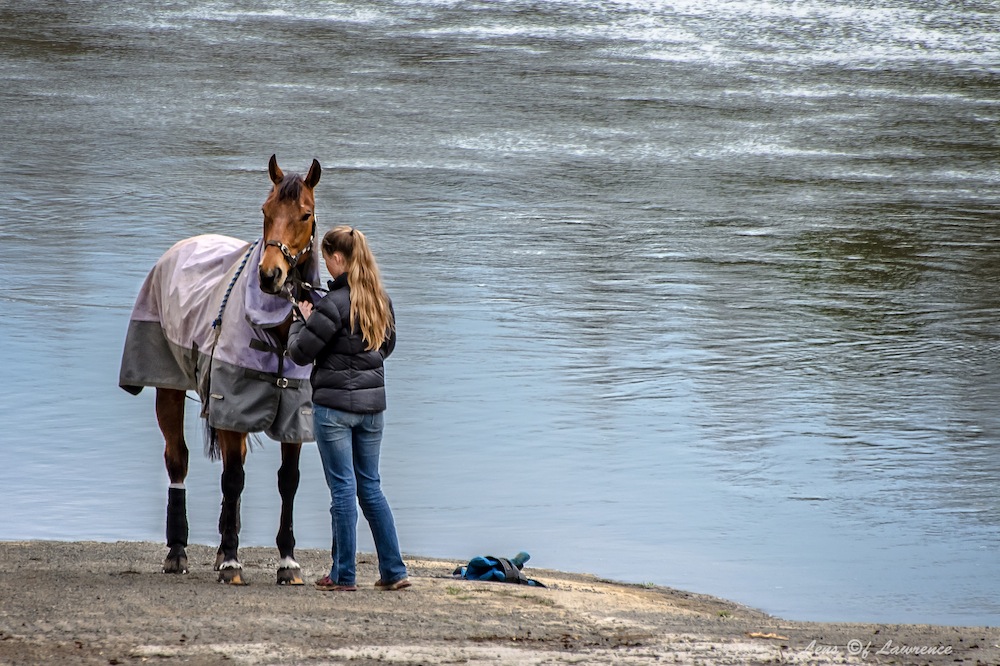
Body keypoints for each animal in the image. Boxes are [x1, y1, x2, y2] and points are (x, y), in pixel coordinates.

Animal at [119, 155, 322, 584]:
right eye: (265, 211)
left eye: (305, 214)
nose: (270, 275)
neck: (278, 332)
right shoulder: (231, 407)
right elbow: (233, 479)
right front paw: (230, 561)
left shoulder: (294, 416)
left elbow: (288, 481)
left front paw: (287, 562)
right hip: (169, 389)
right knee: (178, 459)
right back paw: (177, 551)